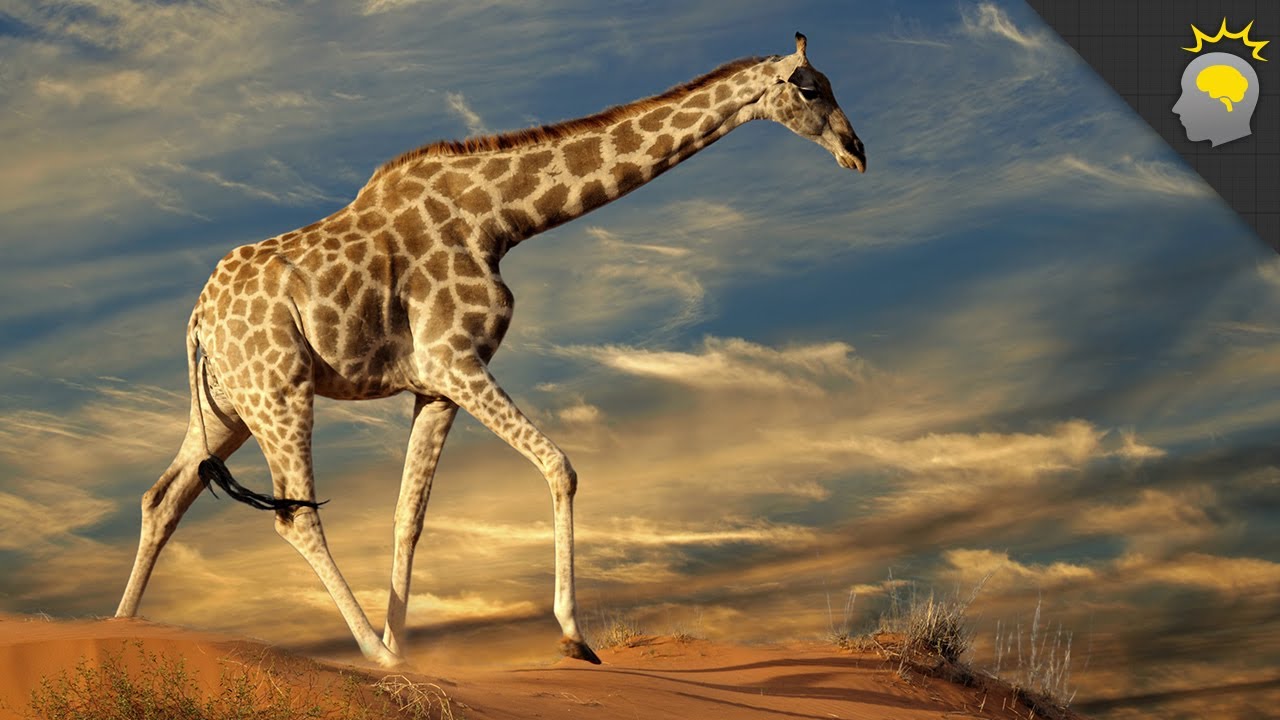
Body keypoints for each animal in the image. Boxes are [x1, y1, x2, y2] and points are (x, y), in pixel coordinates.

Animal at [115, 32, 865, 668]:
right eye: (809, 88)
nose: (857, 151)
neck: (501, 219)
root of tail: (196, 322)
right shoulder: (455, 359)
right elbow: (560, 466)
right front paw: (571, 639)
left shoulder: (433, 386)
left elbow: (409, 516)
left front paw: (409, 646)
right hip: (279, 391)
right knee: (294, 515)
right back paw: (373, 656)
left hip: (227, 407)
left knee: (163, 498)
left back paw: (123, 627)